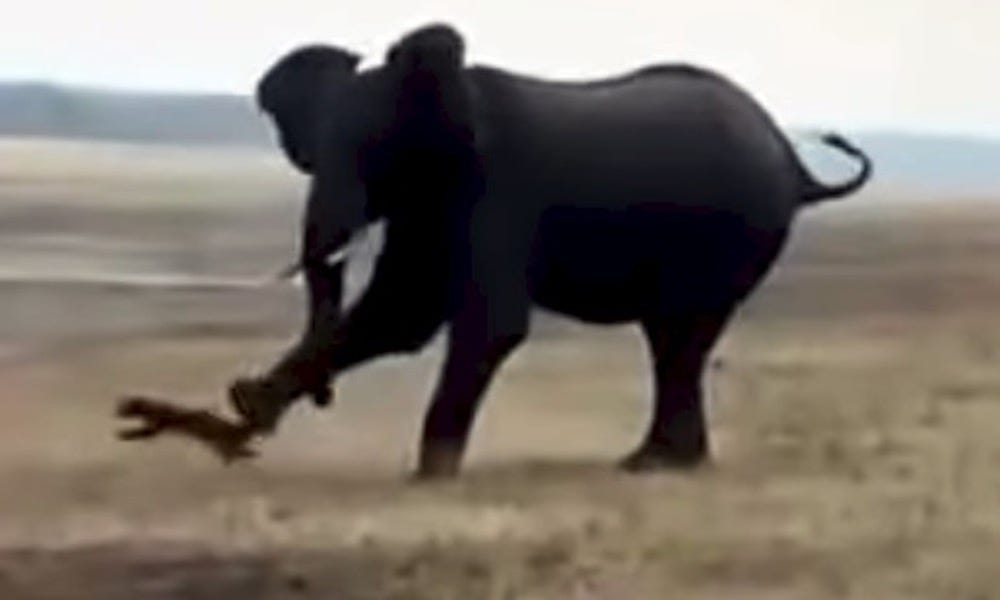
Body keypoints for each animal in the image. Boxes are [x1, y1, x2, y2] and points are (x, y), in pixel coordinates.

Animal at [229, 23, 872, 479]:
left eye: (372, 152)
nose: (324, 400)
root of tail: (795, 163)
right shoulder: (431, 206)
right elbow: (399, 315)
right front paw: (243, 410)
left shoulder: (496, 189)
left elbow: (489, 324)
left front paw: (429, 476)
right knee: (672, 341)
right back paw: (656, 463)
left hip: (733, 233)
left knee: (680, 333)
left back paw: (656, 465)